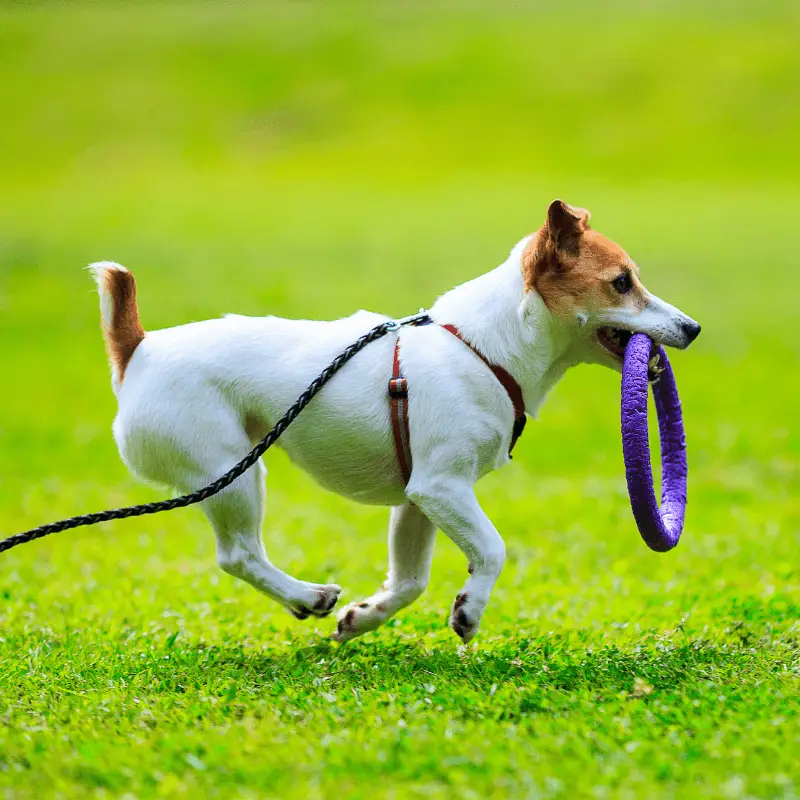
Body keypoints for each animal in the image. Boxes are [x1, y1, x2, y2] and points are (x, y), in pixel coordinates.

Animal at [89, 200, 700, 644]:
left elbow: (410, 581)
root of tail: (138, 349)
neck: (486, 348)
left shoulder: (418, 498)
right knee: (238, 554)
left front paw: (365, 617)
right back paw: (306, 596)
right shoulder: (442, 486)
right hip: (231, 471)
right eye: (621, 283)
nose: (693, 328)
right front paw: (469, 611)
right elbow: (492, 549)